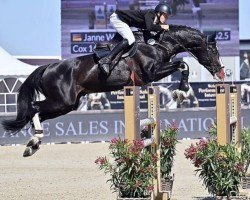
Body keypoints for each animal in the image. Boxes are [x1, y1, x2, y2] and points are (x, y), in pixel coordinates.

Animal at [0, 25, 226, 156]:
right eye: (213, 49)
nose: (221, 72)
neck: (158, 44)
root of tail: (47, 67)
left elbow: (181, 65)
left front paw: (181, 90)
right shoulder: (151, 73)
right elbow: (182, 65)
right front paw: (182, 90)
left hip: (67, 104)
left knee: (38, 114)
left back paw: (34, 142)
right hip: (62, 100)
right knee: (34, 108)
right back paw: (33, 141)